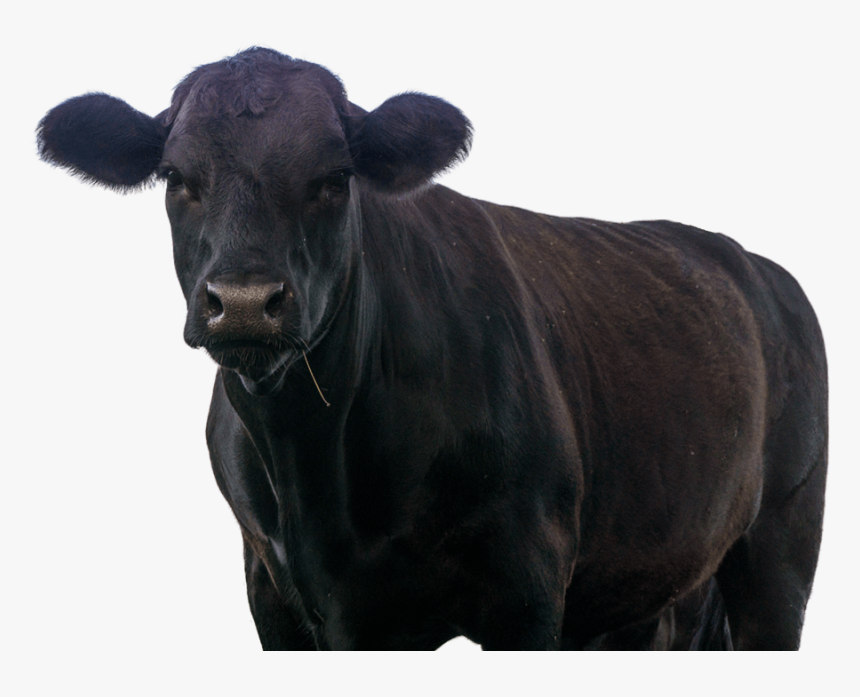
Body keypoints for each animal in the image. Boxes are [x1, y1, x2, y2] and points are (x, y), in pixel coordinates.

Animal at [37, 47, 827, 650]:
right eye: (176, 177)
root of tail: (758, 266)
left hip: (781, 547)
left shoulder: (528, 585)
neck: (317, 470)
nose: (244, 302)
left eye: (336, 178)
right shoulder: (274, 592)